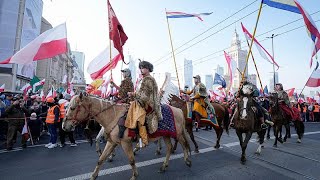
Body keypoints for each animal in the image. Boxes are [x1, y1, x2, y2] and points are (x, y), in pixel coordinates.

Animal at [63, 94, 191, 180]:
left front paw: (134, 175)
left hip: (178, 134)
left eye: (73, 108)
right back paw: (164, 166)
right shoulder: (111, 142)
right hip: (166, 135)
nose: (64, 126)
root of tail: (178, 110)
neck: (113, 116)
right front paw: (93, 175)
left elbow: (131, 160)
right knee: (169, 148)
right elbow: (101, 159)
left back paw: (187, 160)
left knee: (184, 144)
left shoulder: (125, 143)